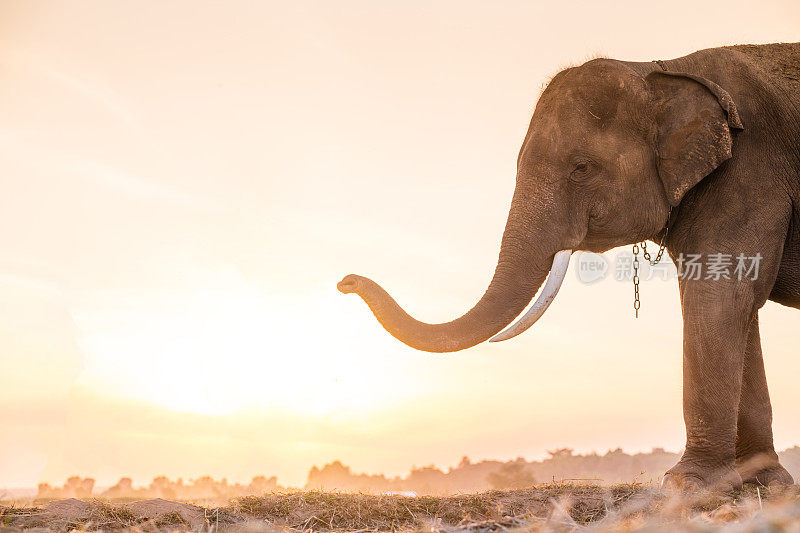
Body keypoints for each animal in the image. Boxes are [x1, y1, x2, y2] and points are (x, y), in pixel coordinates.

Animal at [338, 43, 800, 488]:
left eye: (582, 169)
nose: (345, 281)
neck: (660, 68)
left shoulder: (749, 176)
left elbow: (720, 295)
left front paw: (689, 486)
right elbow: (737, 300)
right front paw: (763, 485)